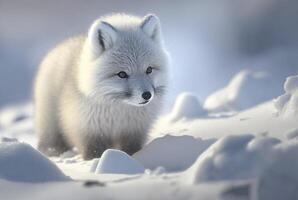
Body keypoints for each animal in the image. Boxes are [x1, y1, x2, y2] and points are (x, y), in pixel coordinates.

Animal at [34, 13, 169, 159]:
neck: (119, 112)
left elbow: (131, 149)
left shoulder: (134, 131)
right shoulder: (88, 130)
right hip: (51, 125)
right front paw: (96, 161)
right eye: (122, 74)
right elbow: (93, 151)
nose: (147, 95)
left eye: (149, 70)